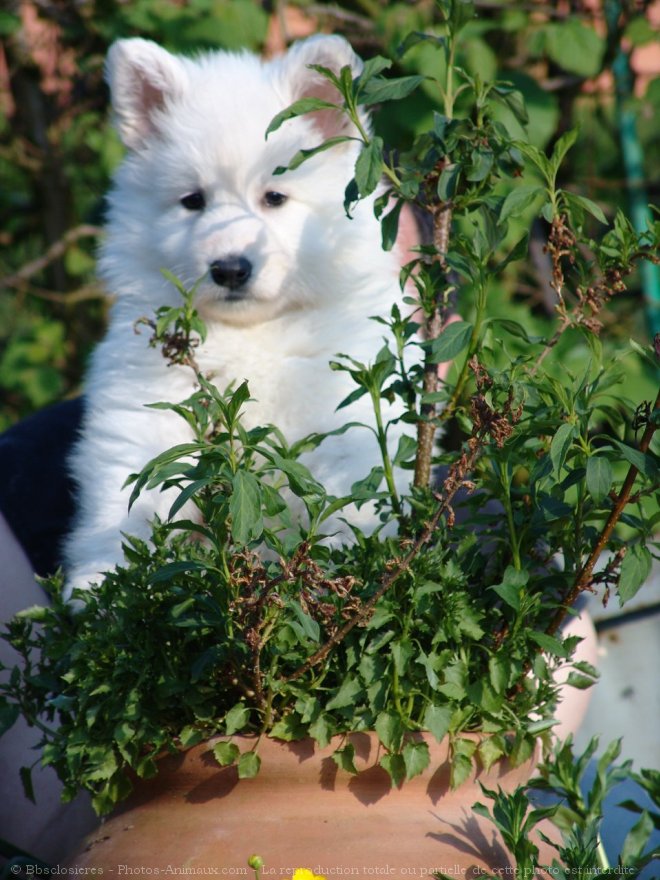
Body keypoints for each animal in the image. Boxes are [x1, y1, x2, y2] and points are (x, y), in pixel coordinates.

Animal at [63, 32, 412, 600]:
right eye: (192, 200)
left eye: (274, 196)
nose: (229, 268)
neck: (253, 336)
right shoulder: (142, 418)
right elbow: (128, 504)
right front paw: (102, 593)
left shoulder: (345, 422)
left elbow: (346, 508)